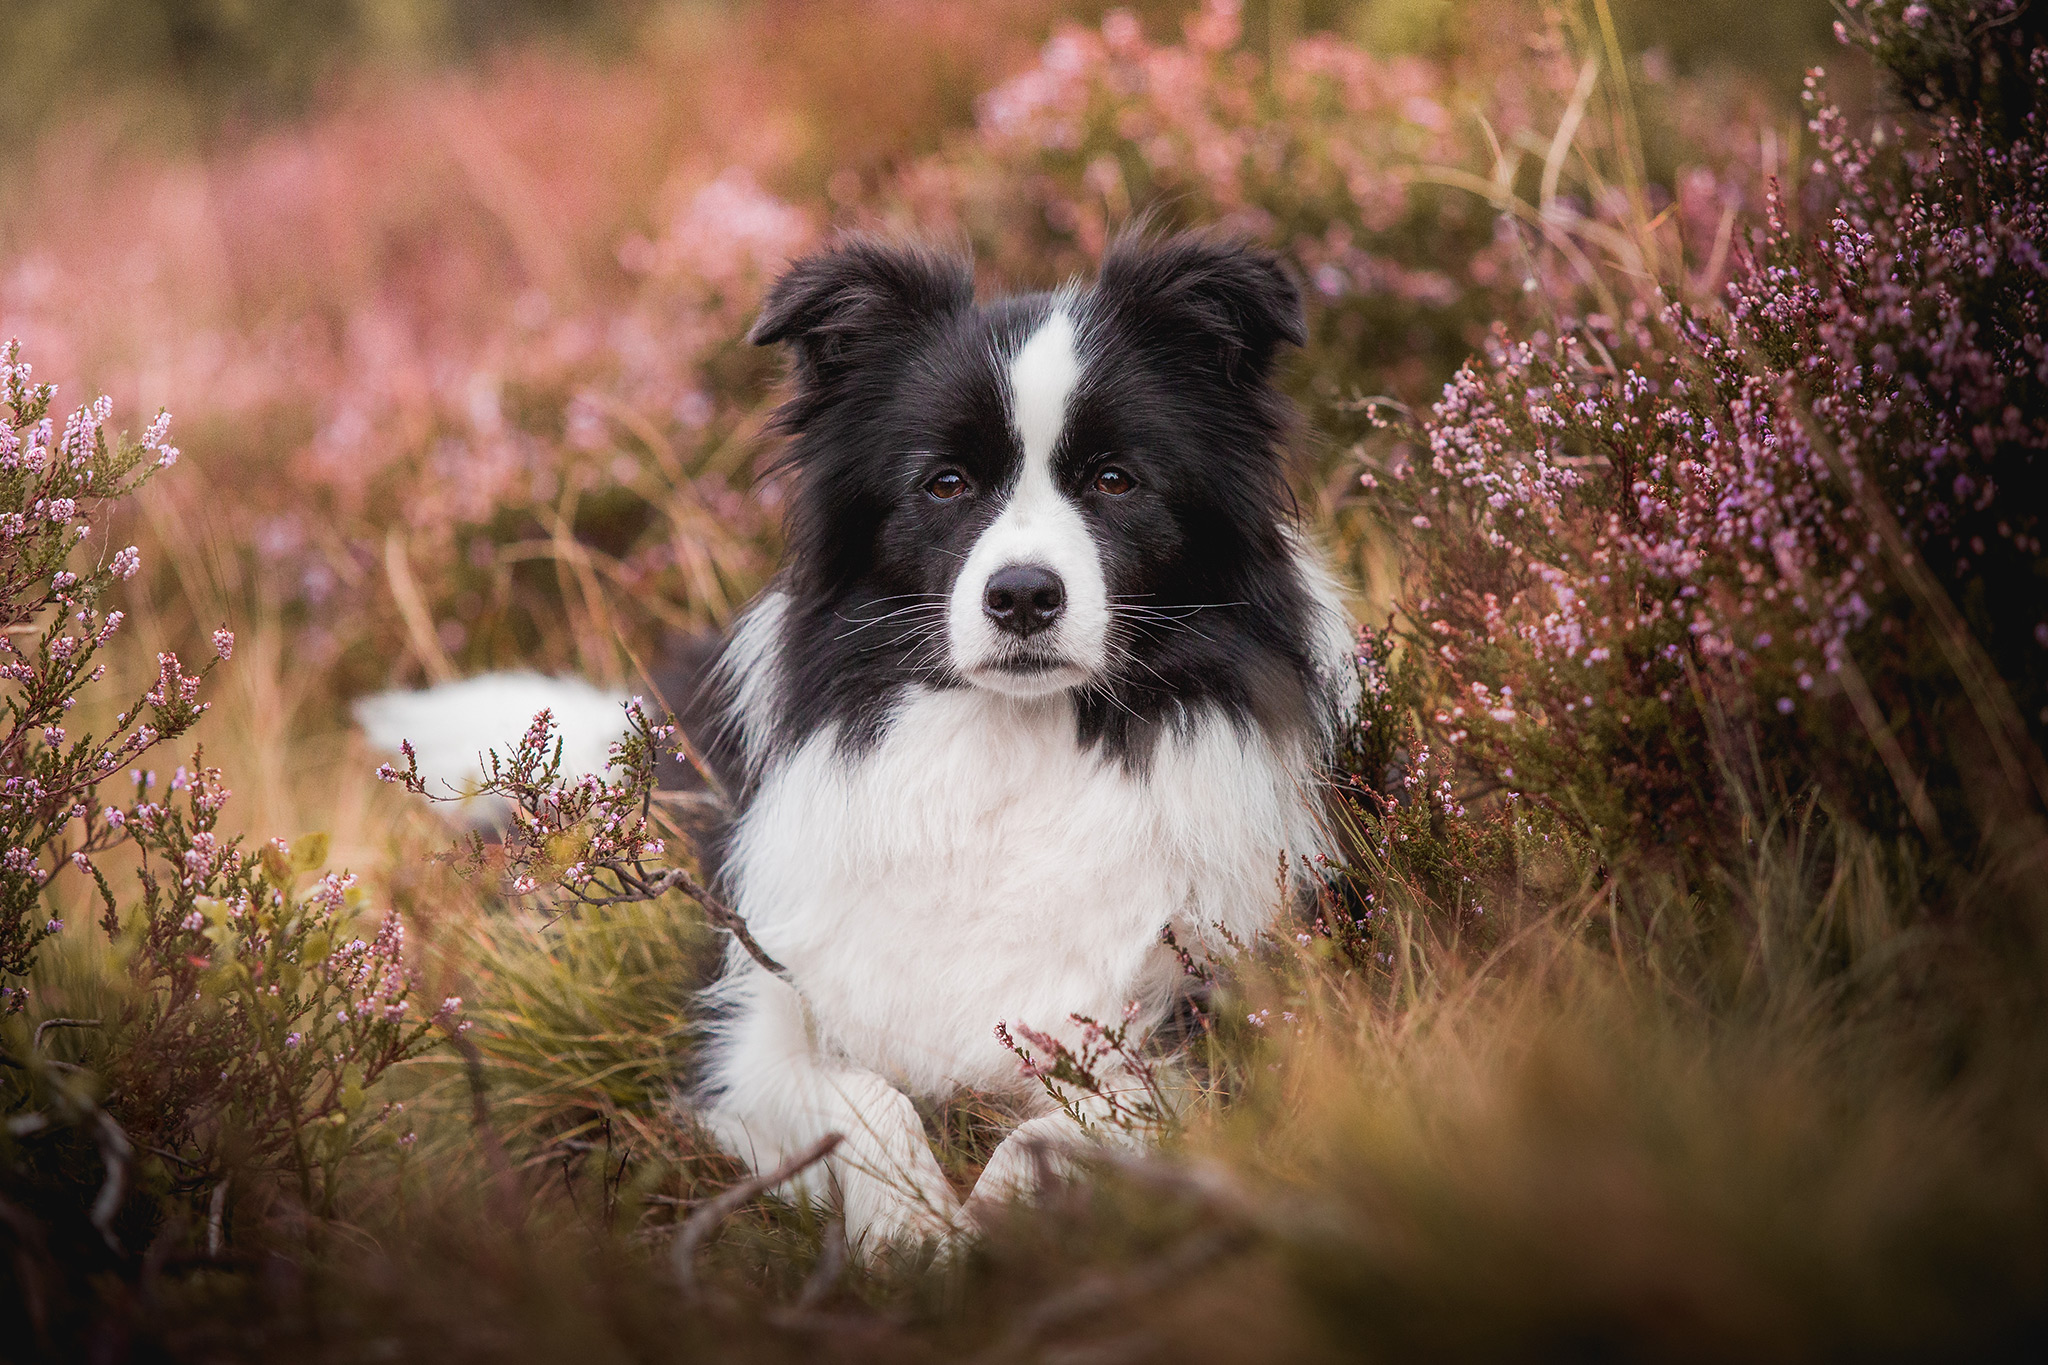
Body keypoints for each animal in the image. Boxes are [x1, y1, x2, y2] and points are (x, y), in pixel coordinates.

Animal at [362, 232, 1359, 1252]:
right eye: (945, 484)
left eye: (1115, 480)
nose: (1023, 596)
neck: (1015, 746)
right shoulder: (744, 1017)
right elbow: (864, 1097)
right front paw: (909, 1236)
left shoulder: (1213, 1025)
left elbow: (1056, 1126)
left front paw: (990, 1227)